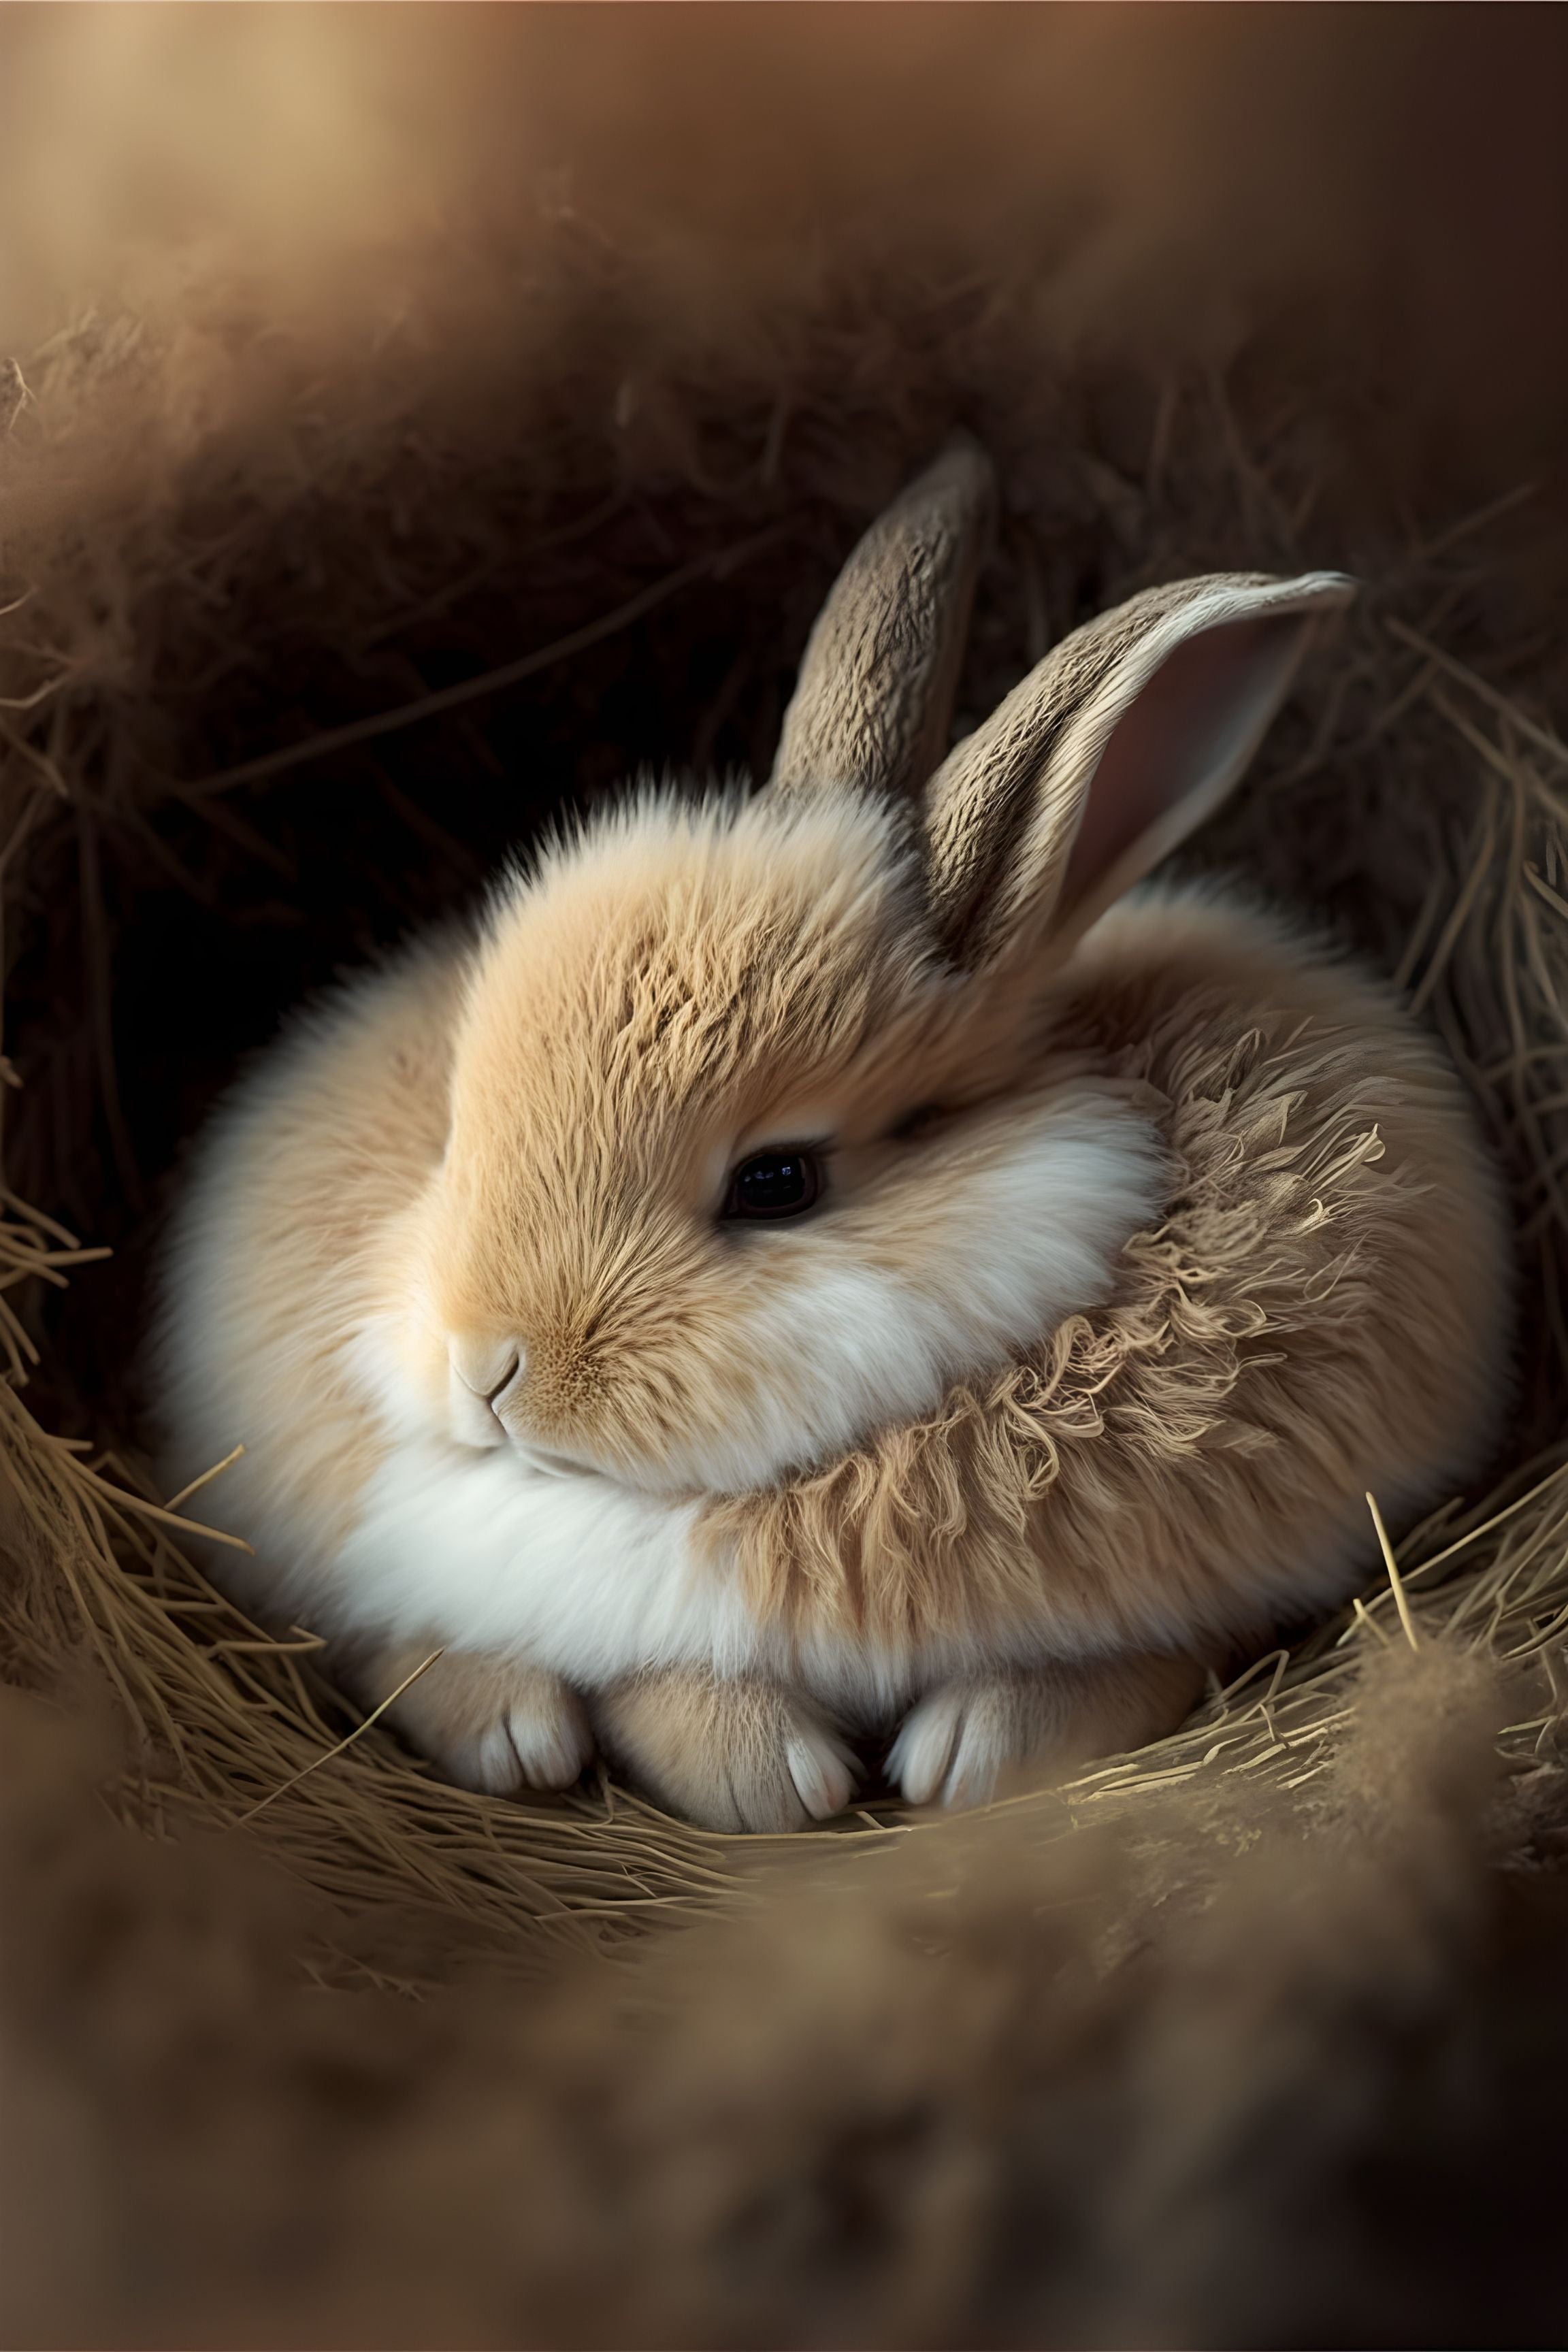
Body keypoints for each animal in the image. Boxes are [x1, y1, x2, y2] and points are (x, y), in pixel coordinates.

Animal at [152, 444, 1514, 1834]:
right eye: (455, 1129)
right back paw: (511, 1731)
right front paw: (771, 1779)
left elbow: (1145, 1658)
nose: (485, 1367)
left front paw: (965, 1755)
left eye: (776, 1182)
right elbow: (642, 1676)